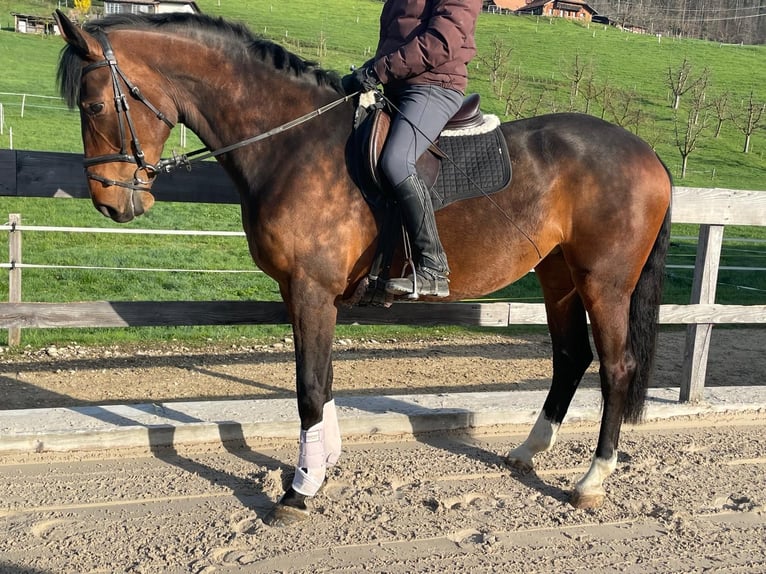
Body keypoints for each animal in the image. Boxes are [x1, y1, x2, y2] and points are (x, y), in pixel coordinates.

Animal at [54, 11, 672, 527]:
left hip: (604, 282)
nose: (110, 203)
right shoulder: (302, 293)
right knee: (570, 357)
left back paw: (592, 480)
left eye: (94, 106)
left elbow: (307, 387)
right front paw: (322, 465)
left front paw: (299, 490)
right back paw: (527, 452)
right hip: (558, 276)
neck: (292, 144)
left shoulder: (311, 289)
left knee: (615, 367)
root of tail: (646, 152)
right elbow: (323, 381)